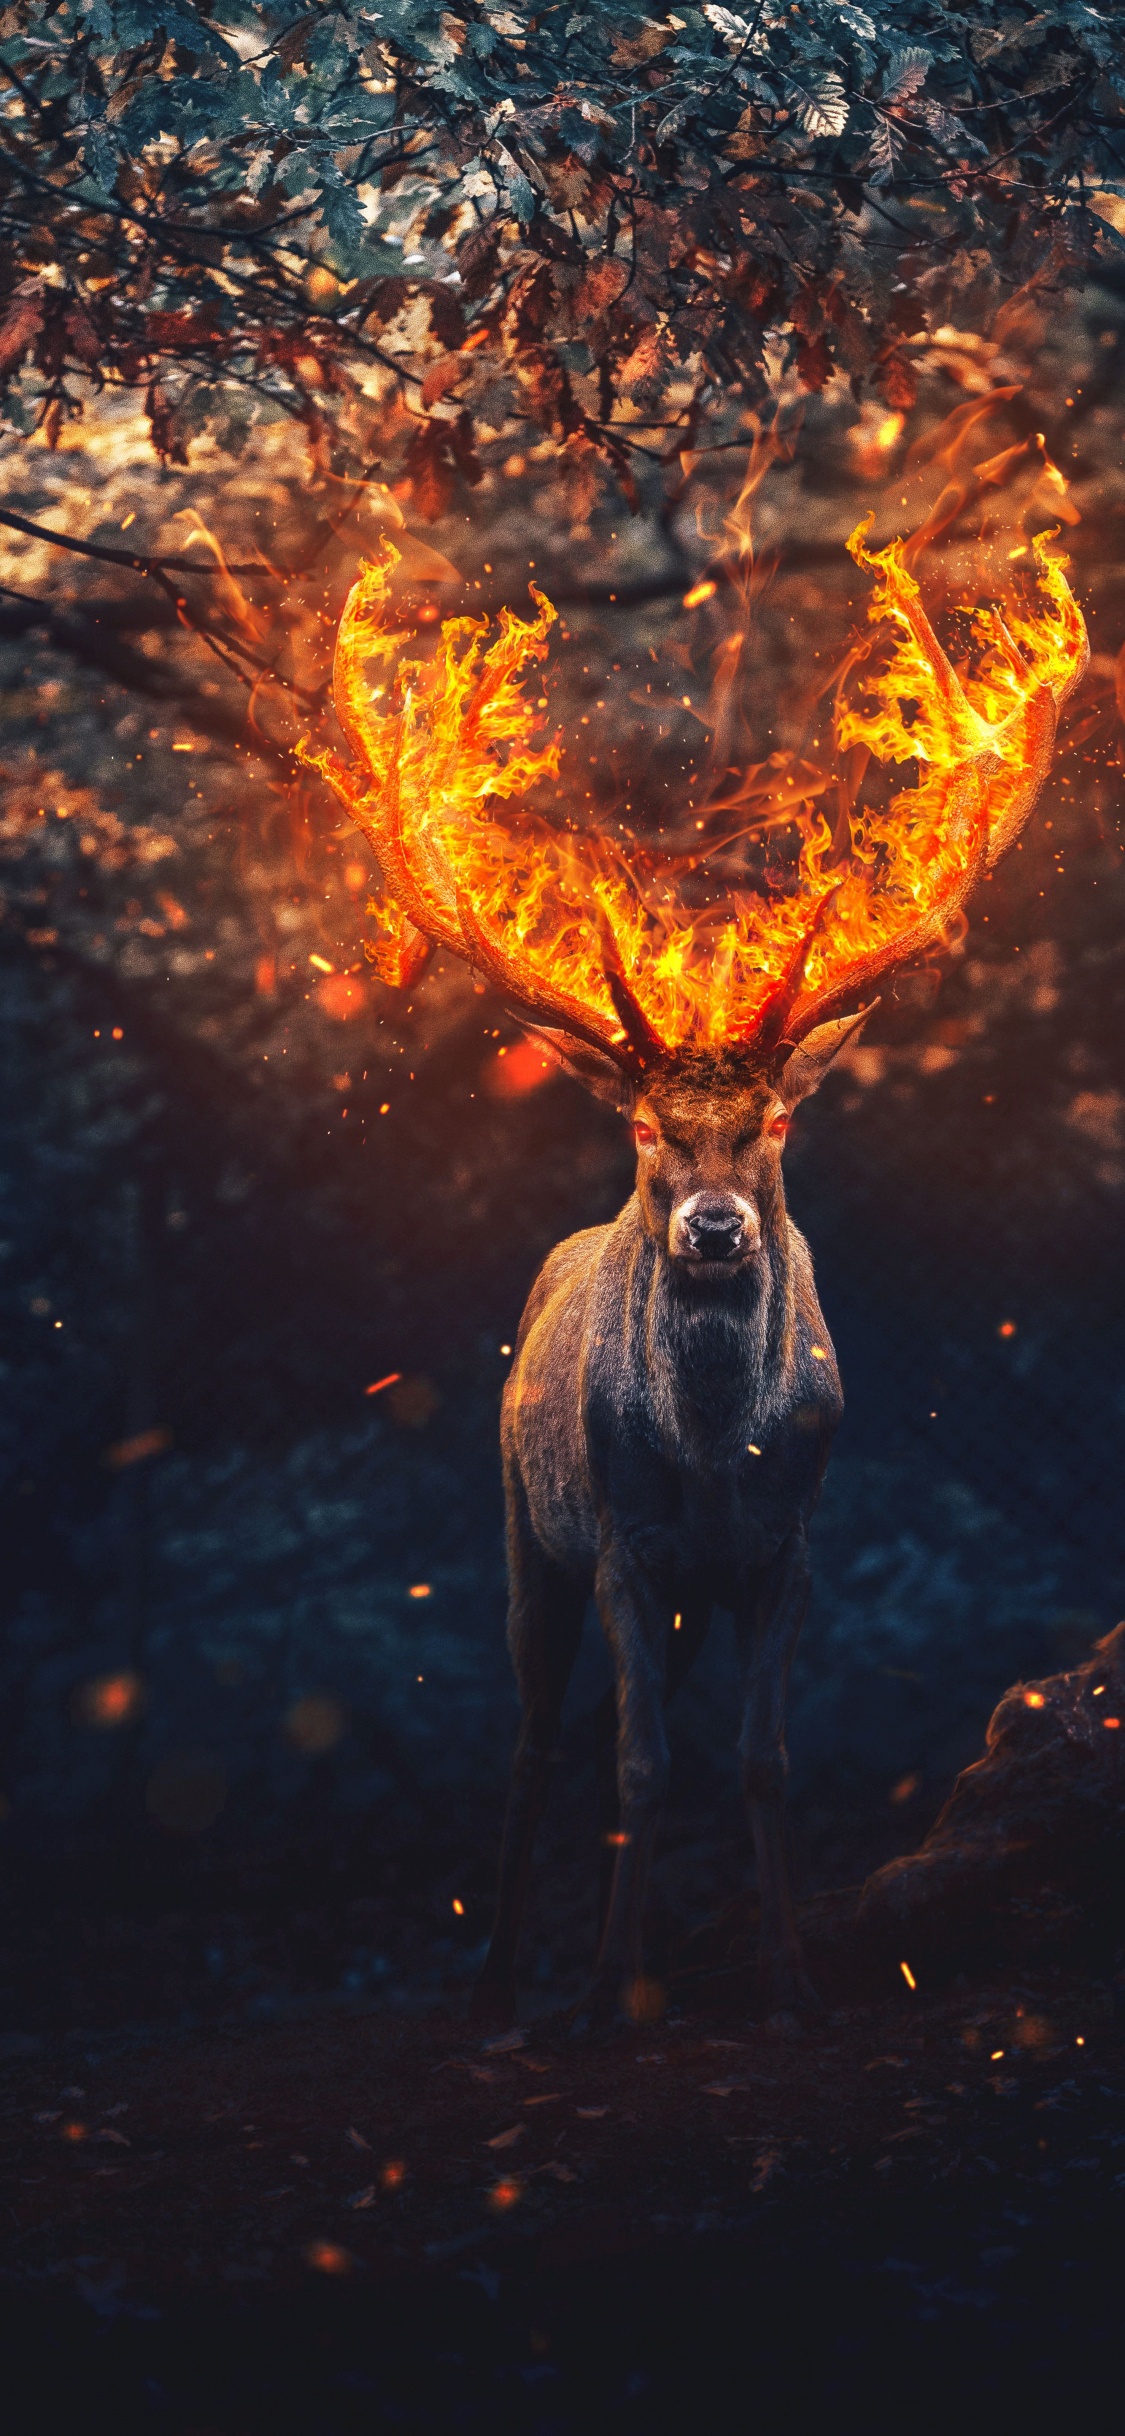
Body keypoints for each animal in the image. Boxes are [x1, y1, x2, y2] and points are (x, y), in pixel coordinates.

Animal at [302, 526, 1087, 2027]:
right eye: (645, 1128)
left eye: (774, 1120)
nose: (716, 1229)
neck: (720, 1450)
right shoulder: (623, 1538)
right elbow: (638, 1763)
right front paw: (615, 1986)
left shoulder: (789, 1547)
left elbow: (762, 1761)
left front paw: (788, 1973)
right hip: (523, 1530)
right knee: (539, 1739)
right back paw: (502, 1981)